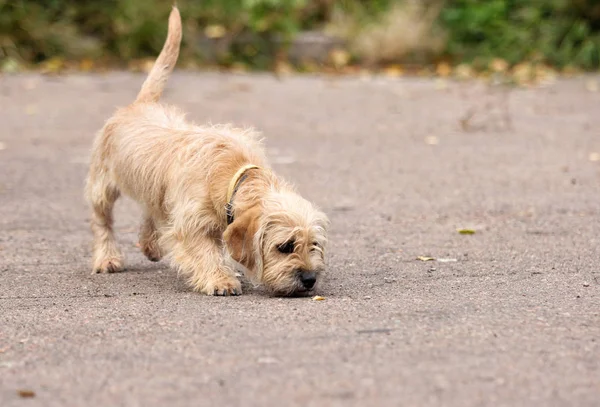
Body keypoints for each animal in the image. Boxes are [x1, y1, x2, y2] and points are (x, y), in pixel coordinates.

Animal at [84, 5, 328, 296]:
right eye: (285, 246)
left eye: (314, 244)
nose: (309, 279)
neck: (232, 173)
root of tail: (140, 104)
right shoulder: (191, 224)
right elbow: (204, 252)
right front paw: (220, 280)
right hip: (102, 187)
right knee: (102, 221)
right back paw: (107, 257)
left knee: (150, 210)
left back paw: (150, 244)